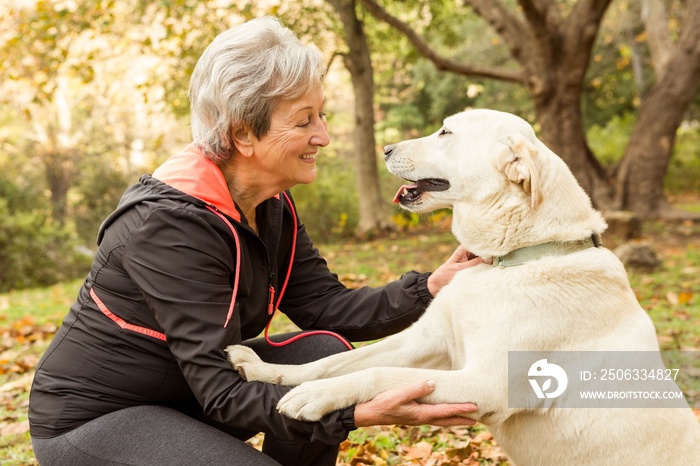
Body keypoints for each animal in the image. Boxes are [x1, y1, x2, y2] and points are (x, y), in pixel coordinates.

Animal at [227, 110, 696, 466]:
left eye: (446, 133)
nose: (386, 149)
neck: (510, 260)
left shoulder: (481, 381)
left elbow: (376, 373)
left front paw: (314, 397)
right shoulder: (426, 340)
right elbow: (335, 363)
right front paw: (271, 373)